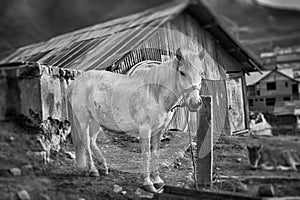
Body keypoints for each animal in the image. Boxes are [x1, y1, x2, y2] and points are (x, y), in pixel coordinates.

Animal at [67, 47, 205, 193]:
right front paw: (148, 183)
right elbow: (146, 154)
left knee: (92, 140)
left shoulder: (159, 131)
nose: (195, 103)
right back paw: (93, 170)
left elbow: (155, 153)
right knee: (86, 140)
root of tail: (74, 83)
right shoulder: (145, 129)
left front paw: (158, 181)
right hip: (83, 119)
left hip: (96, 120)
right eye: (182, 72)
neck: (156, 94)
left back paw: (104, 167)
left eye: (201, 73)